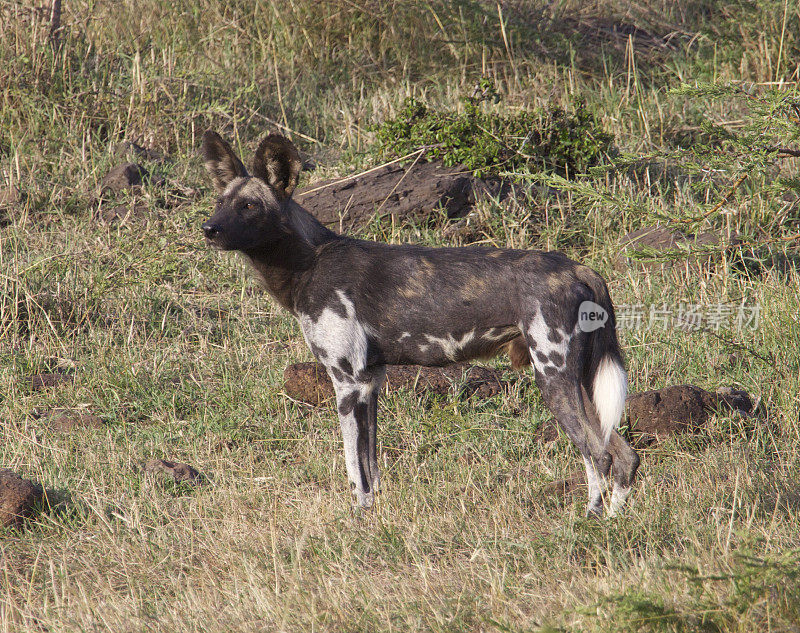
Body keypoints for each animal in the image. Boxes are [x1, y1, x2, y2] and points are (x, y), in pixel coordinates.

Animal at [203, 131, 640, 516]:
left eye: (249, 207)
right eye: (220, 202)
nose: (208, 228)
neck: (307, 262)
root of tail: (579, 268)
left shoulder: (346, 382)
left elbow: (353, 471)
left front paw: (356, 521)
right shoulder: (370, 381)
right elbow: (371, 469)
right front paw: (374, 517)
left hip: (552, 376)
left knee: (598, 455)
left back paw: (588, 521)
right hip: (579, 383)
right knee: (625, 456)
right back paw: (614, 522)